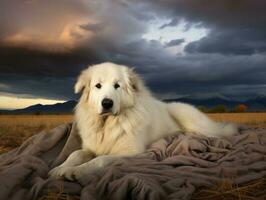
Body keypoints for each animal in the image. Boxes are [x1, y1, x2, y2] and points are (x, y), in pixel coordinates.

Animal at [48, 62, 237, 181]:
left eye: (117, 86)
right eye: (98, 86)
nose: (107, 103)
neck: (107, 124)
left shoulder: (130, 151)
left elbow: (99, 160)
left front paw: (76, 171)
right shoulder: (89, 148)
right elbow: (75, 154)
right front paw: (60, 168)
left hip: (183, 113)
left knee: (212, 133)